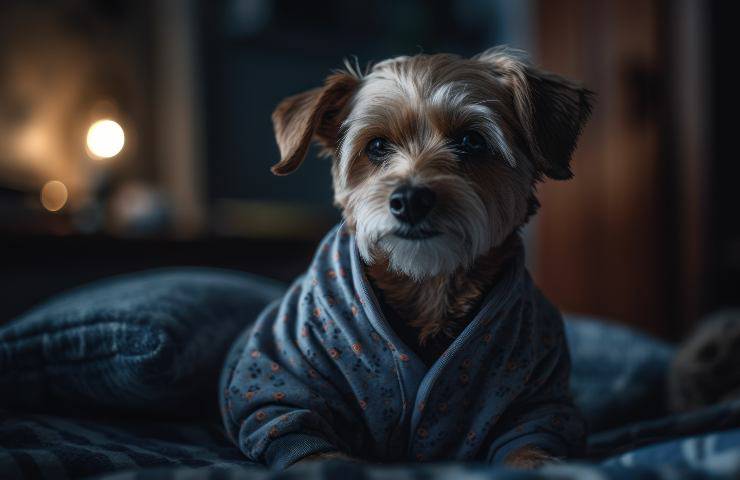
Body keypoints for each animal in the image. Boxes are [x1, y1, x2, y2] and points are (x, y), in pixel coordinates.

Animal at [220, 47, 596, 468]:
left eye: (472, 140)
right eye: (377, 146)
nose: (410, 200)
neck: (426, 284)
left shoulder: (537, 403)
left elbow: (529, 449)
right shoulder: (283, 390)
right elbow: (312, 445)